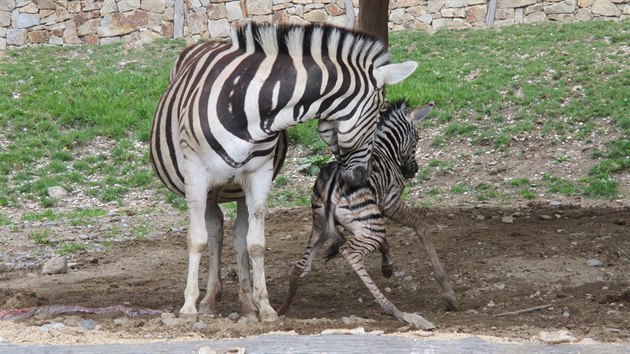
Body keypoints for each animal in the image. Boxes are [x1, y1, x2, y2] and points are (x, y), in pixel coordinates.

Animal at [149, 21, 420, 320]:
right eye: (380, 109)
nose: (363, 176)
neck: (251, 106)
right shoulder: (196, 173)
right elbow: (196, 239)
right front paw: (188, 307)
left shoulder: (259, 174)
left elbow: (256, 243)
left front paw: (265, 307)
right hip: (209, 188)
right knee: (213, 231)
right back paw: (208, 301)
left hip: (235, 188)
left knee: (235, 234)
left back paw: (243, 304)